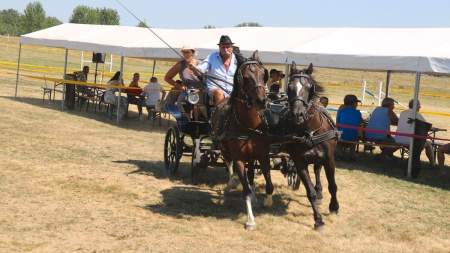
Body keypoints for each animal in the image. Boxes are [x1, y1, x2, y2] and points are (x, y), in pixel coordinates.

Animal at [211, 50, 270, 230]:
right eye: (245, 77)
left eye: (263, 74)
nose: (261, 101)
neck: (249, 126)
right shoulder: (239, 159)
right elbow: (245, 190)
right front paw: (250, 220)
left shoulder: (263, 155)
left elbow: (268, 182)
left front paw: (266, 200)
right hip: (224, 149)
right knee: (230, 167)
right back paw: (231, 183)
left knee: (250, 174)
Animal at [284, 62, 340, 229]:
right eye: (289, 87)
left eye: (309, 87)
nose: (297, 114)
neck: (310, 131)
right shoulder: (300, 162)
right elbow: (310, 193)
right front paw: (318, 220)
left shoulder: (329, 159)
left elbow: (332, 186)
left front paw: (334, 207)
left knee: (317, 170)